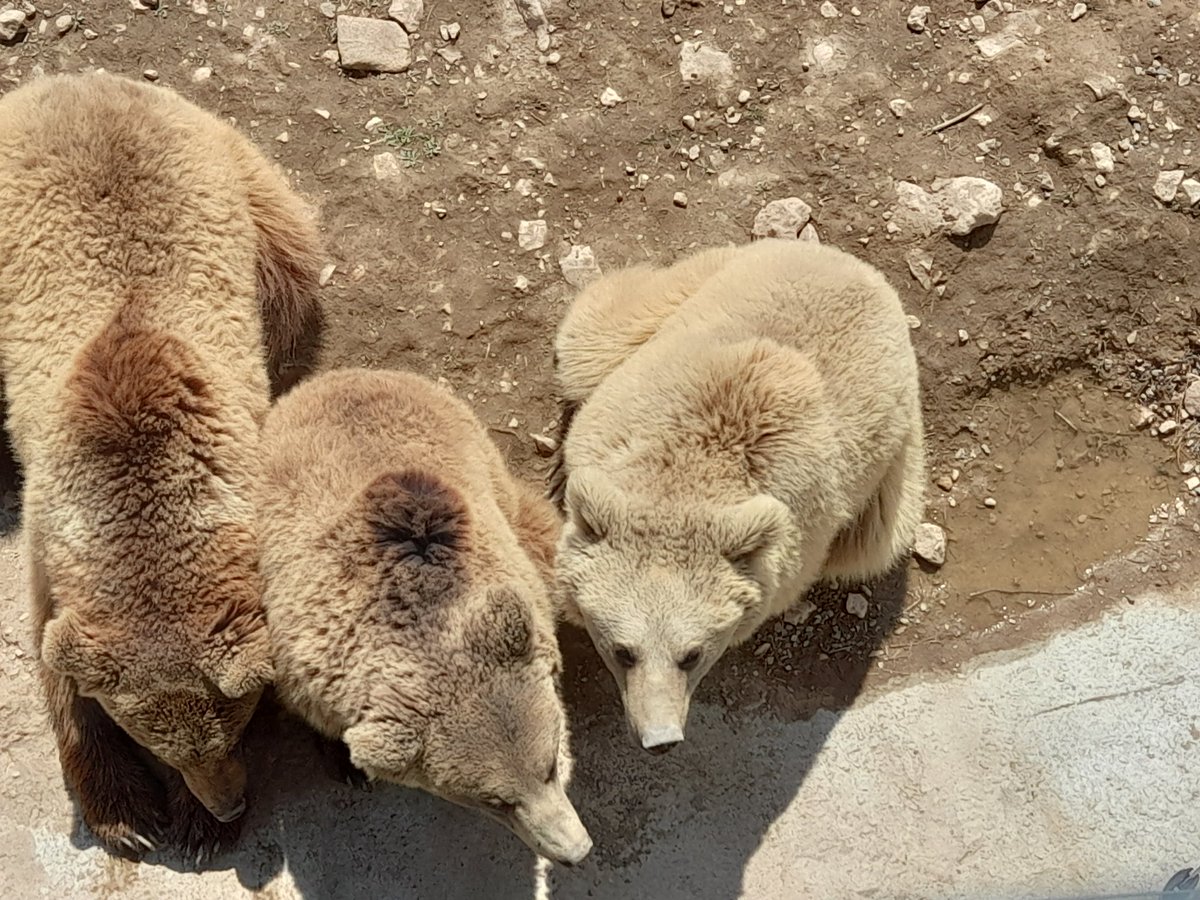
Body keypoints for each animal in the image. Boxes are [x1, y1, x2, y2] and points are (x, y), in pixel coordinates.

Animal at [0, 71, 323, 860]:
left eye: (236, 726)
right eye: (159, 745)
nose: (229, 806)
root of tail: (70, 79)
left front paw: (193, 828)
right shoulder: (54, 549)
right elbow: (61, 674)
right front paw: (127, 818)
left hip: (239, 181)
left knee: (291, 270)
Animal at [256, 369, 593, 866]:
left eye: (549, 765)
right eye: (496, 801)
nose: (574, 851)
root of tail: (342, 374)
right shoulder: (305, 644)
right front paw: (347, 763)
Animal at [551, 238, 926, 754]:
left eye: (691, 654)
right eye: (624, 651)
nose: (661, 740)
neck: (688, 482)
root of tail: (858, 267)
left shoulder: (798, 539)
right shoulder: (611, 429)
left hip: (895, 458)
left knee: (871, 544)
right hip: (706, 278)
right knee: (593, 337)